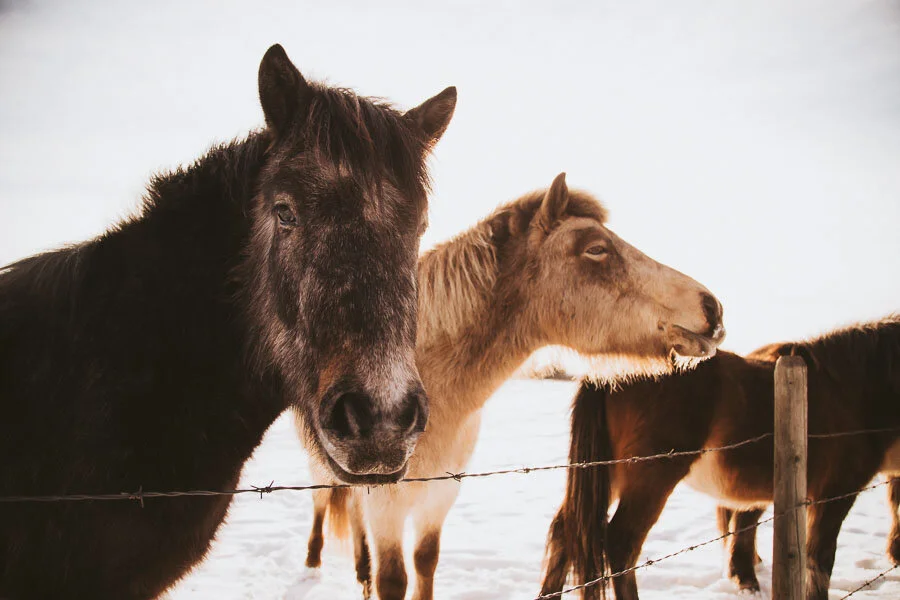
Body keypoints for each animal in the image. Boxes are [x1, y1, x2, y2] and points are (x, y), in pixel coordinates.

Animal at [298, 172, 726, 600]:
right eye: (596, 248)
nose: (712, 307)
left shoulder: (439, 497)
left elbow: (425, 562)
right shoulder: (386, 505)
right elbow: (392, 579)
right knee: (322, 503)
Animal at [541, 316, 900, 600]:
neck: (849, 391)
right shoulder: (836, 493)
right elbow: (820, 560)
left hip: (612, 474)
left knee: (565, 531)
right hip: (650, 479)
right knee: (621, 544)